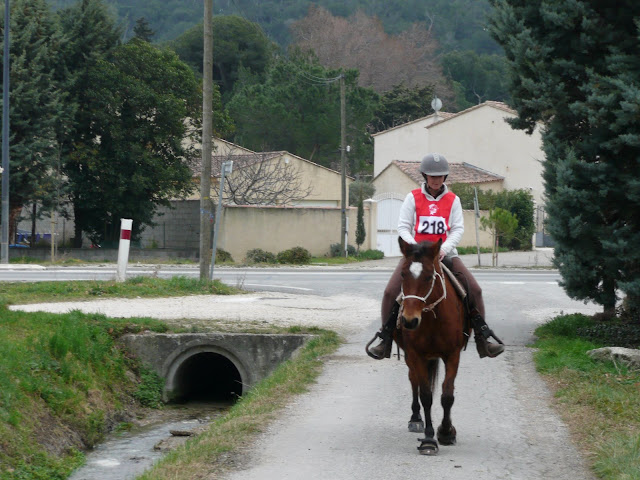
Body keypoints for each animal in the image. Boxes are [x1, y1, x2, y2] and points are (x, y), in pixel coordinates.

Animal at [396, 238, 470, 456]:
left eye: (429, 277)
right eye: (403, 274)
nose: (409, 320)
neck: (432, 319)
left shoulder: (452, 355)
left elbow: (447, 395)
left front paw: (446, 432)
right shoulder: (416, 355)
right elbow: (426, 396)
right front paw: (429, 440)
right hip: (411, 357)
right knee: (414, 381)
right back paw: (415, 419)